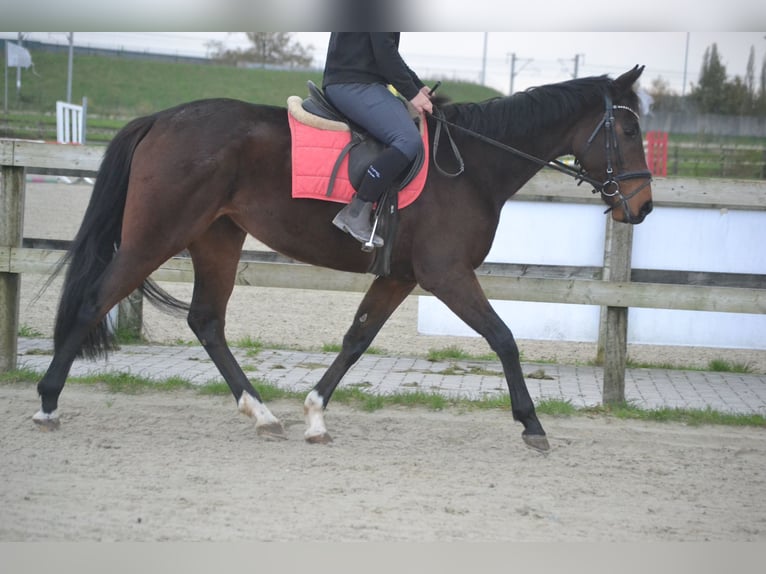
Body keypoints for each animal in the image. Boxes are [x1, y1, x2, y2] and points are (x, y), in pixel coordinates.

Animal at [34, 66, 656, 454]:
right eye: (628, 127)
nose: (644, 206)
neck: (472, 165)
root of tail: (162, 119)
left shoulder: (400, 276)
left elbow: (358, 338)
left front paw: (314, 414)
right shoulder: (448, 275)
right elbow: (503, 338)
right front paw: (531, 424)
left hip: (216, 238)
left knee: (206, 321)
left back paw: (263, 413)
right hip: (156, 236)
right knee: (94, 301)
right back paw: (46, 403)